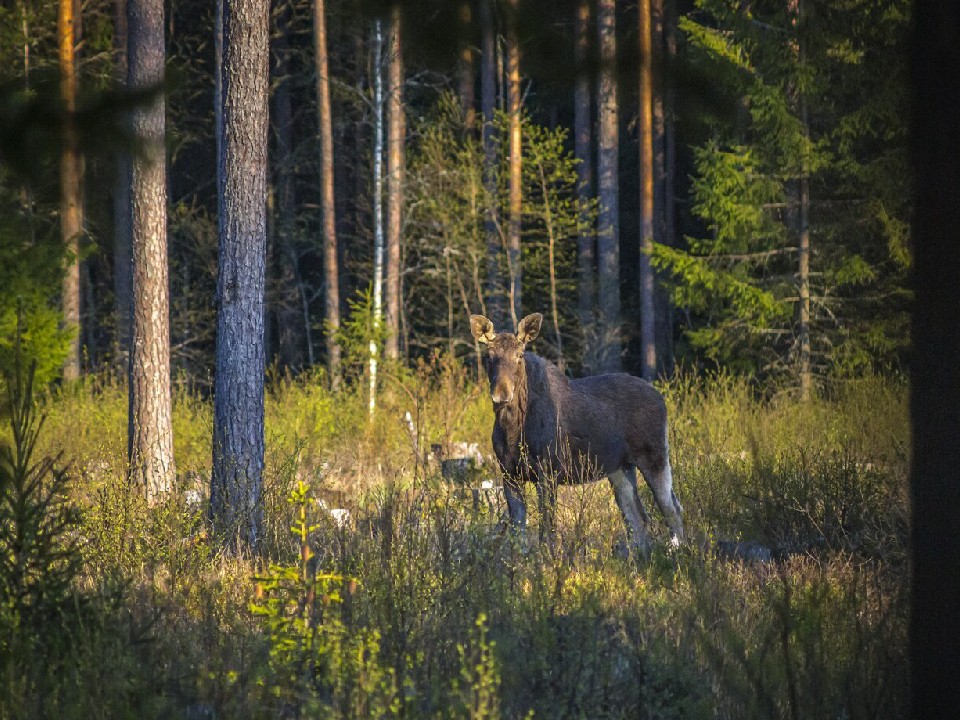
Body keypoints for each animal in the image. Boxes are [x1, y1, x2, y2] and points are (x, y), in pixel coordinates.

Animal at [470, 312, 684, 556]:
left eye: (520, 354)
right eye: (489, 356)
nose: (502, 394)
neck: (512, 429)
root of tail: (661, 397)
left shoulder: (548, 472)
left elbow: (547, 530)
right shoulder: (509, 474)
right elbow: (518, 534)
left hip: (654, 456)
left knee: (672, 508)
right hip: (619, 468)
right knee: (637, 517)